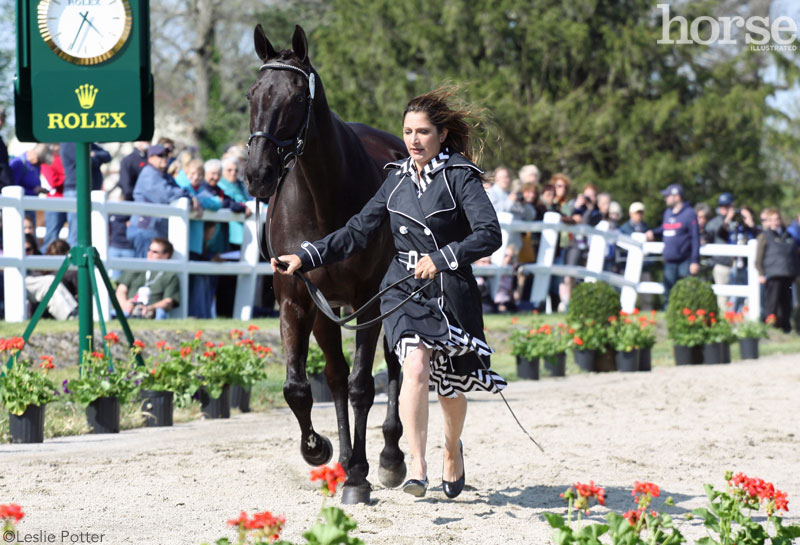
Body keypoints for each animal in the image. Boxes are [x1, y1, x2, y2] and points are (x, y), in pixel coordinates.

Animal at [242, 24, 406, 502]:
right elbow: (300, 387)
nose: (257, 174)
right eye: (252, 94)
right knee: (333, 376)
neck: (323, 196)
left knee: (392, 368)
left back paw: (388, 457)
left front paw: (362, 473)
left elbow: (362, 385)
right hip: (327, 310)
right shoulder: (297, 298)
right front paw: (319, 449)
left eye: (297, 97)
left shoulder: (370, 299)